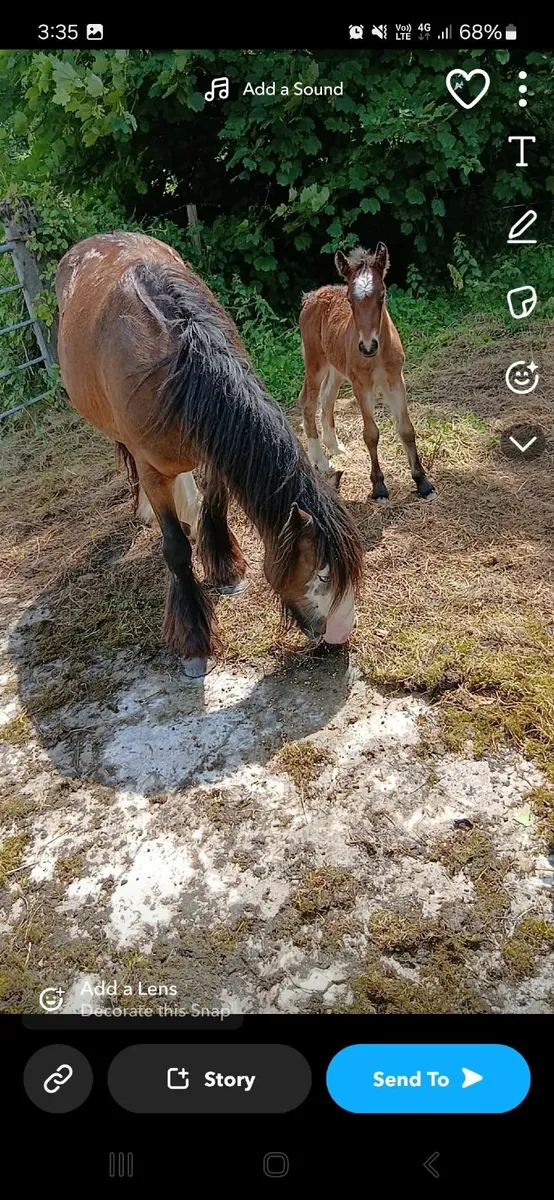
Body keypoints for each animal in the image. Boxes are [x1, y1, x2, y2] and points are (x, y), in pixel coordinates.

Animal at [55, 232, 364, 678]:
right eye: (321, 575)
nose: (340, 634)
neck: (176, 367)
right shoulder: (152, 469)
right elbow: (176, 549)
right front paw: (193, 641)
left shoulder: (216, 450)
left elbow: (215, 506)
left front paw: (224, 568)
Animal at [298, 244, 435, 502]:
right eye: (349, 300)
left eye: (382, 296)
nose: (368, 346)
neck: (378, 356)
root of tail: (311, 296)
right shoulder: (361, 385)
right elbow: (371, 433)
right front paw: (379, 487)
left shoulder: (395, 380)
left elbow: (406, 429)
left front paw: (423, 483)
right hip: (315, 362)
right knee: (308, 402)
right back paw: (321, 461)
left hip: (336, 366)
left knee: (327, 396)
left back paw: (335, 446)